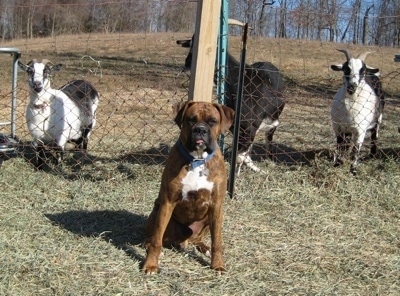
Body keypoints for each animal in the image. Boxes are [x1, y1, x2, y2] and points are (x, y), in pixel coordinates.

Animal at [143, 100, 234, 274]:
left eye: (212, 121)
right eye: (191, 119)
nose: (200, 129)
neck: (197, 160)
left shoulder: (217, 206)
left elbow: (217, 241)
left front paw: (218, 265)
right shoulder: (168, 202)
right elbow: (157, 239)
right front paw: (150, 264)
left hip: (208, 219)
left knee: (198, 239)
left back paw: (205, 248)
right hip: (157, 211)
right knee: (154, 237)